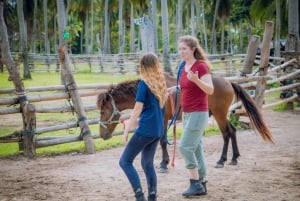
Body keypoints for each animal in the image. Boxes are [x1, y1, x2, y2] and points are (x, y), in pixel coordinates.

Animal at [96, 73, 274, 172]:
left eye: (103, 111)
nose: (102, 134)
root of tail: (228, 82)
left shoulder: (164, 119)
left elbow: (162, 141)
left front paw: (164, 163)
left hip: (219, 115)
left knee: (226, 133)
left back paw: (222, 160)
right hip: (221, 115)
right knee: (233, 131)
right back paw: (234, 158)